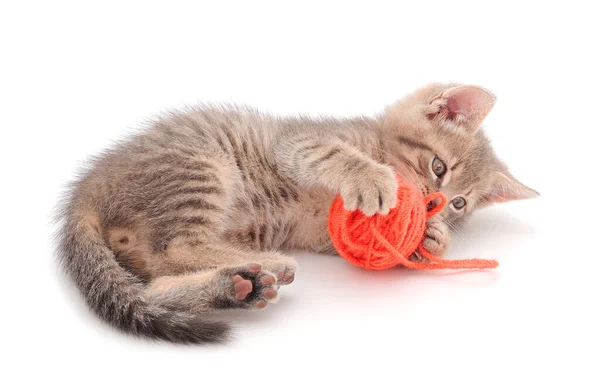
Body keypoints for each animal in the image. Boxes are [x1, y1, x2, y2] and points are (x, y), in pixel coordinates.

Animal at [56, 82, 536, 342]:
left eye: (459, 203)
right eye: (439, 168)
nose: (434, 204)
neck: (376, 139)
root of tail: (89, 187)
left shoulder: (321, 233)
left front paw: (432, 236)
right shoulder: (301, 142)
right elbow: (333, 154)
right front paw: (373, 179)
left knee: (153, 285)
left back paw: (237, 286)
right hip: (201, 168)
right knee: (173, 248)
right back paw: (268, 265)